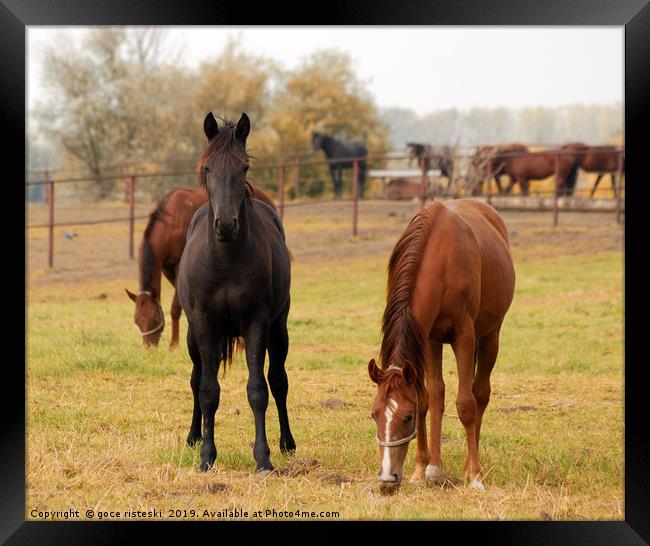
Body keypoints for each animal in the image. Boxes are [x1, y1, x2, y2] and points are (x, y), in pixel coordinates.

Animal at [125, 184, 274, 348]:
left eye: (154, 319)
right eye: (137, 321)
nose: (149, 347)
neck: (171, 224)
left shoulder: (179, 266)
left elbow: (175, 308)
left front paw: (173, 344)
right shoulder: (168, 270)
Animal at [177, 112, 294, 474]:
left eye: (243, 167)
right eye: (207, 167)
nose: (226, 225)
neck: (226, 260)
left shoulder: (257, 324)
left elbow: (258, 389)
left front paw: (263, 459)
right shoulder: (203, 326)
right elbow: (207, 390)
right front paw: (206, 457)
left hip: (278, 329)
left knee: (278, 380)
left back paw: (287, 443)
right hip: (193, 337)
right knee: (195, 377)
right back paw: (193, 437)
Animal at [368, 198, 512, 490]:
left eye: (407, 417)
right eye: (375, 414)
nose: (388, 477)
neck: (442, 259)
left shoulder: (464, 335)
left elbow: (466, 405)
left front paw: (475, 476)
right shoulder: (424, 337)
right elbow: (426, 399)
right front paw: (422, 470)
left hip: (490, 335)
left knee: (480, 394)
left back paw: (471, 466)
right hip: (435, 343)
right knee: (438, 393)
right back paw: (435, 466)